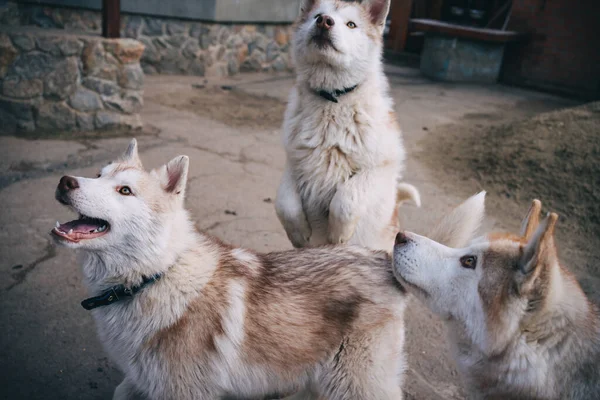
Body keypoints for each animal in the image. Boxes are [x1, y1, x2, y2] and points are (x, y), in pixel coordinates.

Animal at [51, 138, 420, 400]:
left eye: (124, 190)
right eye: (99, 174)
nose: (65, 181)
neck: (155, 276)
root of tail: (380, 257)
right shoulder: (140, 381)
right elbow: (120, 390)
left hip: (356, 385)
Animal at [276, 0, 420, 250]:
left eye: (351, 24)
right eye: (317, 15)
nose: (324, 21)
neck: (332, 101)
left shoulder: (382, 168)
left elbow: (347, 197)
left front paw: (338, 233)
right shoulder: (294, 162)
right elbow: (284, 202)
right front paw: (298, 233)